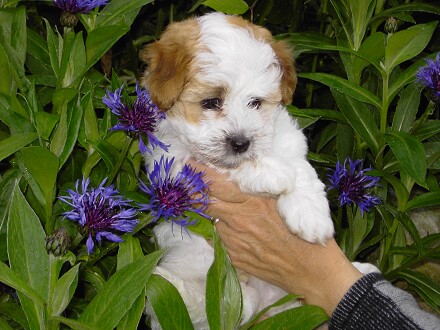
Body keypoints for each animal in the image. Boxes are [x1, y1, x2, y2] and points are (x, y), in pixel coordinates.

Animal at [143, 12, 336, 328]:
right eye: (211, 102)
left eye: (255, 103)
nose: (241, 143)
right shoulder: (171, 165)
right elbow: (217, 165)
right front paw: (271, 174)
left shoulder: (288, 139)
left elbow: (301, 169)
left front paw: (312, 217)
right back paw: (165, 281)